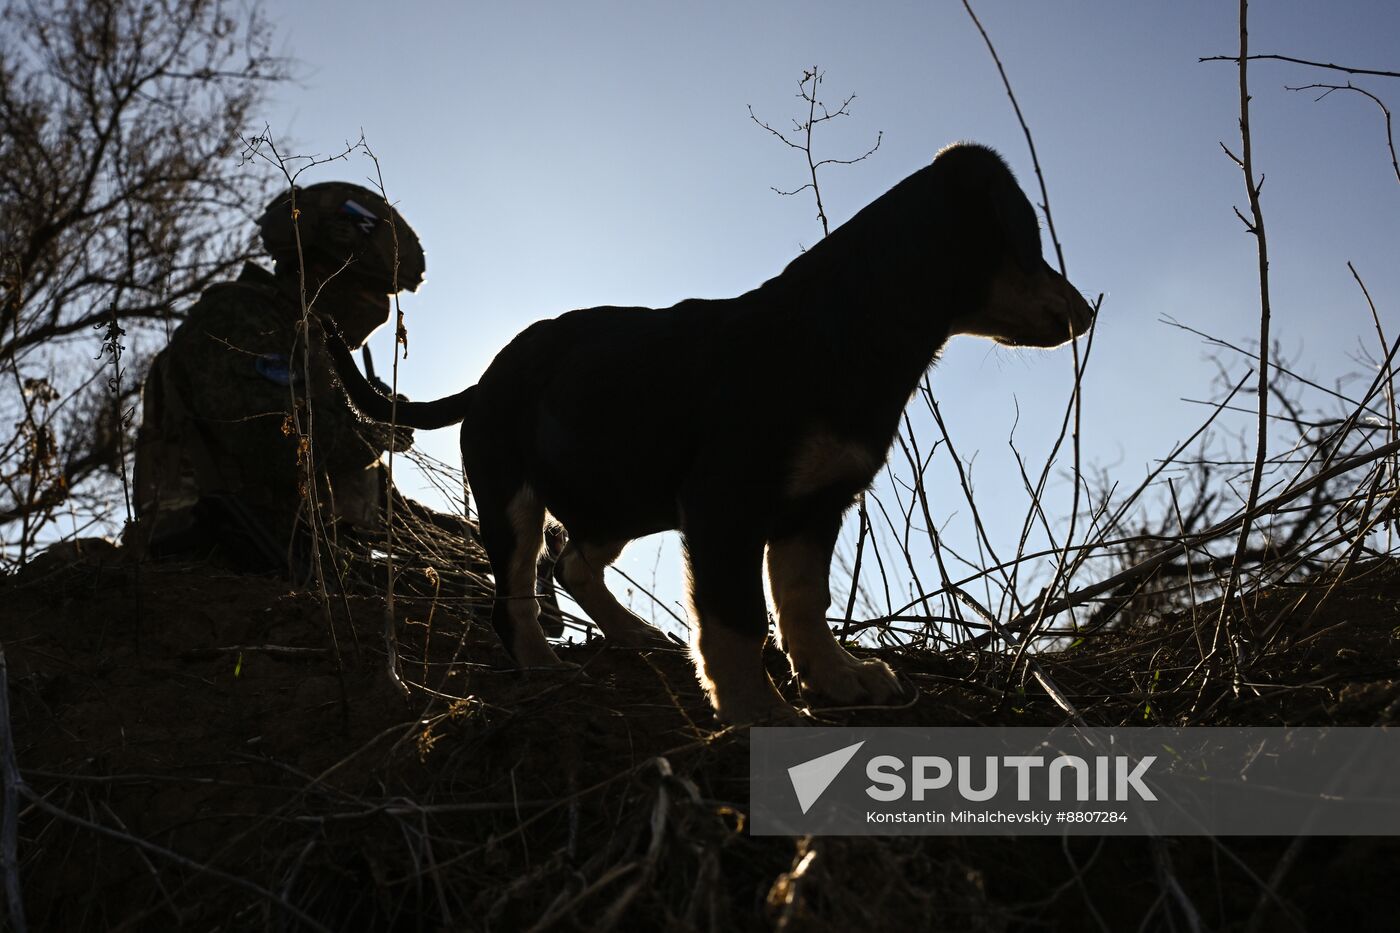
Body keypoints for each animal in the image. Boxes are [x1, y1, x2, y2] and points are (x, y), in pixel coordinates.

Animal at [327, 143, 1092, 717]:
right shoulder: (726, 503)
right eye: (1029, 239)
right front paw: (757, 709)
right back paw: (542, 664)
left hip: (623, 494)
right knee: (516, 588)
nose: (1088, 313)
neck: (847, 330)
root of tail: (488, 375)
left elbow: (803, 600)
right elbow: (736, 616)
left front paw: (835, 677)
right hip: (513, 492)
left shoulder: (815, 507)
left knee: (572, 562)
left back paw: (634, 634)